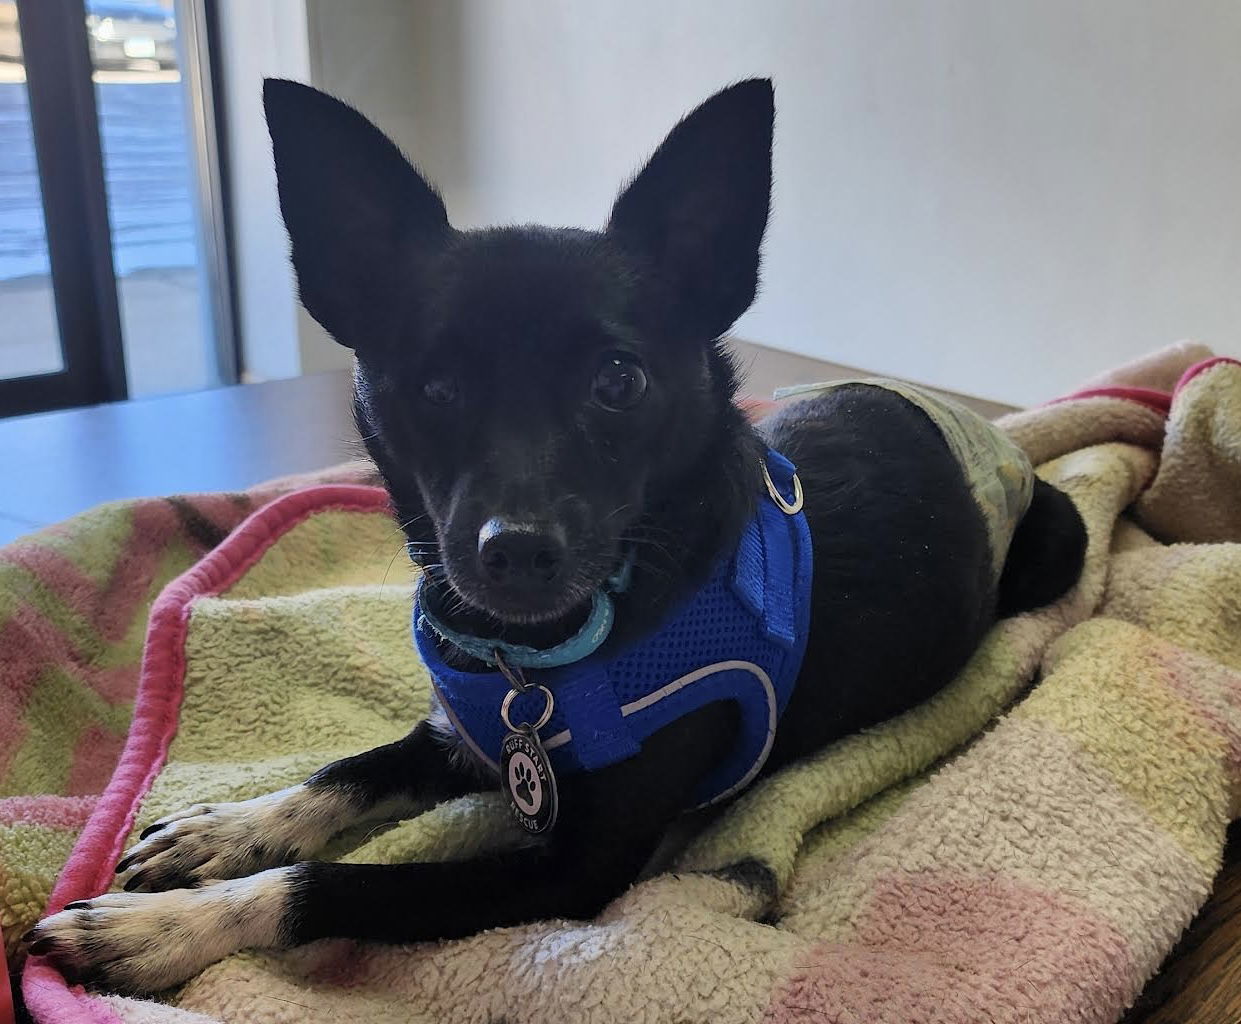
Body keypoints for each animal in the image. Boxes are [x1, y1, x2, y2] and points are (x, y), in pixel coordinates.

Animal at [26, 76, 1087, 988]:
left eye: (618, 381)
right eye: (435, 387)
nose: (517, 551)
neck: (530, 661)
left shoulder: (575, 870)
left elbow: (335, 882)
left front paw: (162, 929)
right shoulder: (454, 729)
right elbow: (342, 775)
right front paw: (230, 830)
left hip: (1055, 545)